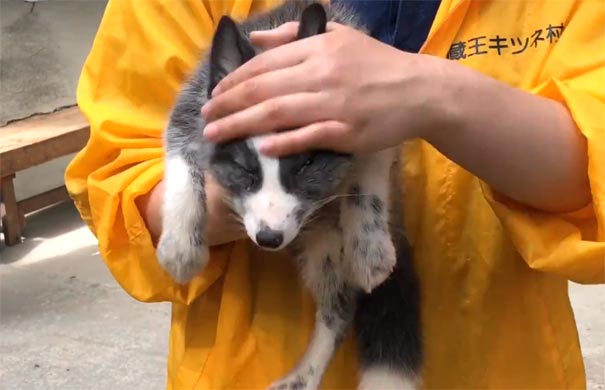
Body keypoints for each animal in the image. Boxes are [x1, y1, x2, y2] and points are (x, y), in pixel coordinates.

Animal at [156, 1, 420, 388]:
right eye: (245, 169)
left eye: (306, 164)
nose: (269, 238)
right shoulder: (190, 108)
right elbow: (180, 160)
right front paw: (180, 247)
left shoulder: (376, 120)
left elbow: (365, 179)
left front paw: (369, 246)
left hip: (326, 248)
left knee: (338, 314)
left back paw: (304, 374)